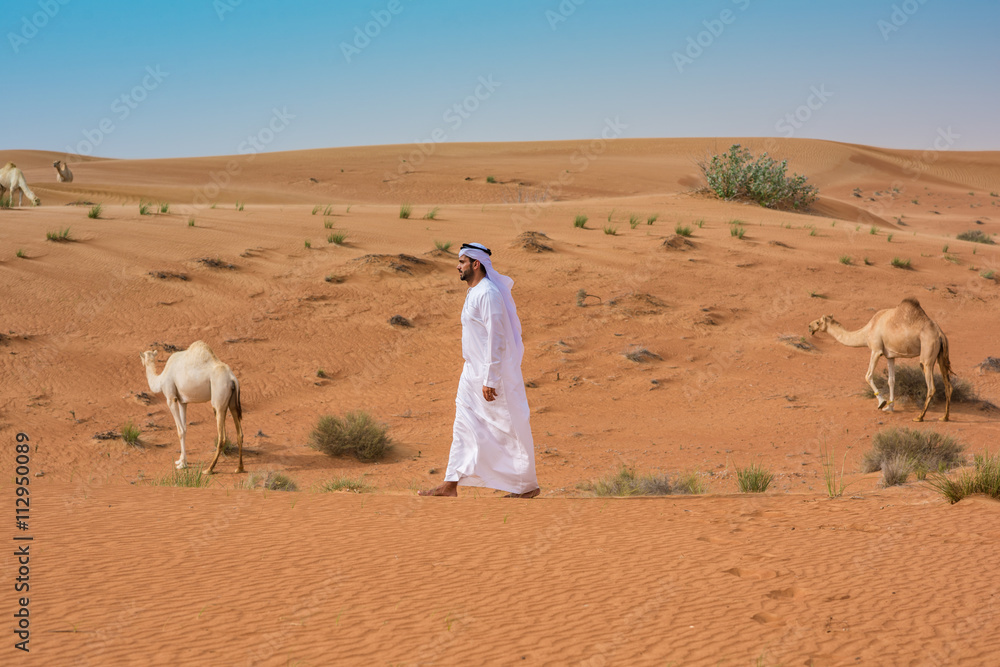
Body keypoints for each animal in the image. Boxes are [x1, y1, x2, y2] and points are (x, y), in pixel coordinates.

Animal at [140, 341, 245, 473]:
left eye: (142, 357)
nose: (142, 362)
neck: (161, 379)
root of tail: (232, 378)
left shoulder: (171, 398)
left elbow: (179, 430)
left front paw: (182, 464)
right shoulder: (182, 401)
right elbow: (184, 429)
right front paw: (181, 461)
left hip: (218, 400)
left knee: (221, 437)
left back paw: (209, 469)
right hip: (232, 401)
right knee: (239, 433)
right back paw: (239, 468)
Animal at [808, 297, 952, 421]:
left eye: (818, 322)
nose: (809, 326)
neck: (867, 331)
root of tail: (940, 333)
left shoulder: (876, 350)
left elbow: (868, 375)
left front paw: (882, 403)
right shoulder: (890, 356)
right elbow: (891, 380)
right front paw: (890, 407)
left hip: (927, 351)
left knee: (931, 386)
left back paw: (919, 417)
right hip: (940, 355)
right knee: (948, 385)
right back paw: (944, 417)